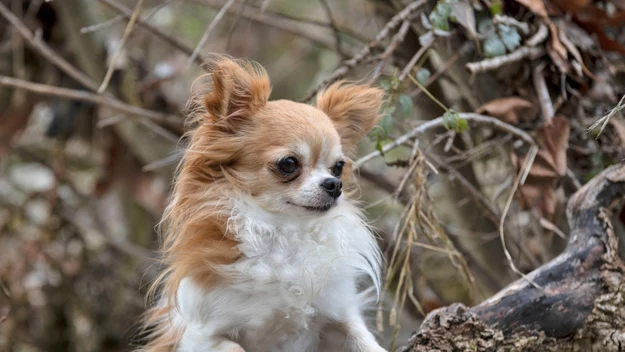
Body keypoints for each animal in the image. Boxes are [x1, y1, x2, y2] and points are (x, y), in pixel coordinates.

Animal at [139, 56, 388, 350]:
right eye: (289, 163)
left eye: (339, 167)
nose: (334, 185)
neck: (284, 234)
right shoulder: (199, 335)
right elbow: (234, 347)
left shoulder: (337, 315)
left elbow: (363, 339)